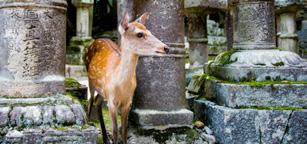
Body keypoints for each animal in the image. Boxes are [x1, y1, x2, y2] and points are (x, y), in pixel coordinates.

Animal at [85, 12, 168, 144]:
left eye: (149, 31)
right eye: (140, 34)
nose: (166, 48)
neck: (121, 87)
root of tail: (97, 39)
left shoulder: (128, 102)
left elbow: (124, 131)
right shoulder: (111, 101)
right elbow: (115, 131)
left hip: (103, 91)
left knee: (97, 101)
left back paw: (105, 138)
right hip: (90, 81)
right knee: (90, 101)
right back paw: (89, 124)